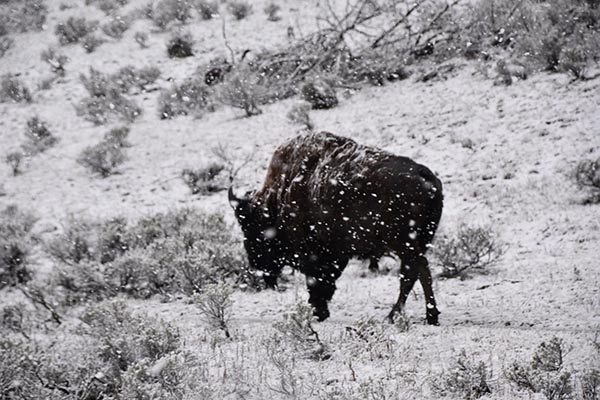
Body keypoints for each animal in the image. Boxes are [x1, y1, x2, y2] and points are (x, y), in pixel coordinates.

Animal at [227, 132, 442, 324]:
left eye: (250, 228)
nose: (256, 265)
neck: (280, 197)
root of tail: (425, 175)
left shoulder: (314, 254)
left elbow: (317, 281)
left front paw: (317, 312)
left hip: (404, 243)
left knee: (413, 272)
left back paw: (394, 316)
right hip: (418, 242)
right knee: (419, 271)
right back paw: (430, 316)